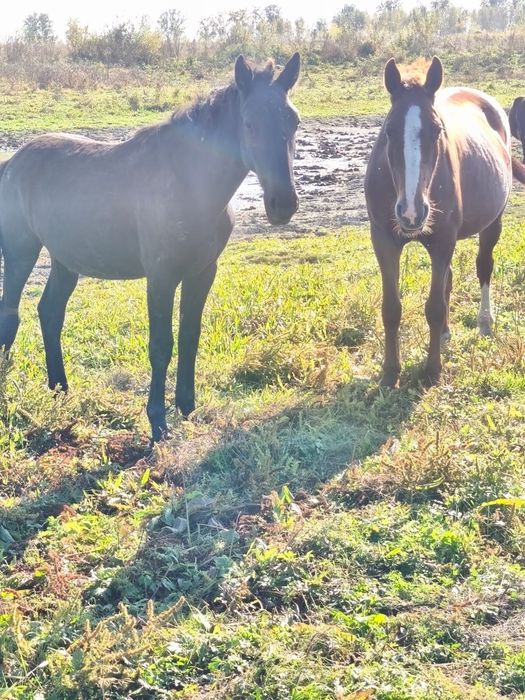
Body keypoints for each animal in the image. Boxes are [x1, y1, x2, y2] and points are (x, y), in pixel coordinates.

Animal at [0, 53, 301, 442]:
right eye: (248, 124)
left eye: (294, 121)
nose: (283, 204)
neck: (190, 183)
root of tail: (12, 162)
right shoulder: (161, 275)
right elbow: (161, 345)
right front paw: (158, 421)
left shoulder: (202, 272)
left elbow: (189, 337)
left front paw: (187, 408)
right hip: (21, 251)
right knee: (11, 314)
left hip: (65, 260)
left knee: (50, 312)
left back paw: (60, 389)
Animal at [365, 56, 525, 388]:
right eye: (389, 131)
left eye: (437, 131)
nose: (411, 212)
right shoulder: (383, 239)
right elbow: (391, 308)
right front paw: (390, 372)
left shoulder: (441, 241)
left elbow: (435, 307)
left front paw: (432, 370)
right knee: (448, 278)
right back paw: (446, 334)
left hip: (492, 223)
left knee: (483, 266)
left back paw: (484, 322)